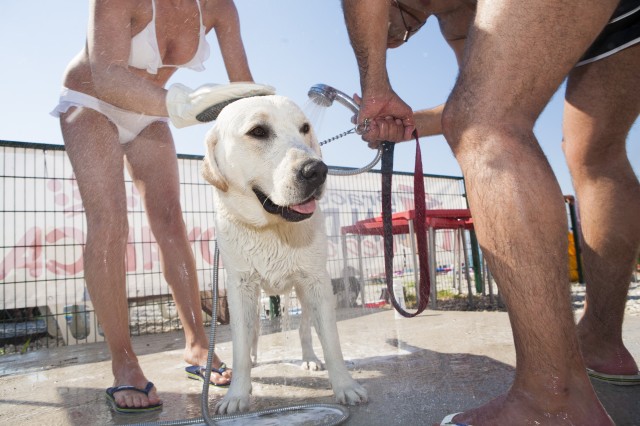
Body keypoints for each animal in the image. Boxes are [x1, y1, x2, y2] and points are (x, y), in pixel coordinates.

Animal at [202, 95, 368, 412]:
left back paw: (310, 359)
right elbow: (240, 346)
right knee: (254, 334)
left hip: (303, 293)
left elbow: (331, 343)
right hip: (257, 300)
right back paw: (255, 359)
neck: (273, 229)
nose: (316, 171)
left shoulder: (317, 283)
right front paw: (237, 394)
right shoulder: (239, 288)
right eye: (258, 131)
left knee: (304, 330)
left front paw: (345, 385)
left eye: (305, 128)